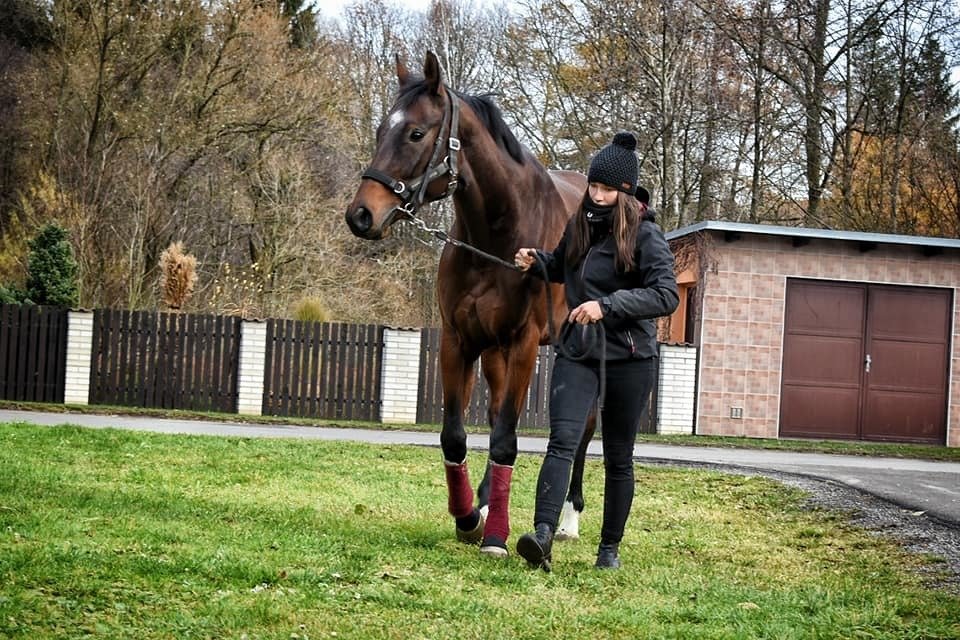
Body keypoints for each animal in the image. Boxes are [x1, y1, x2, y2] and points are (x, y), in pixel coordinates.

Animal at [346, 51, 592, 556]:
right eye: (380, 130)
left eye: (416, 133)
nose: (361, 215)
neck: (497, 237)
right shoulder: (459, 342)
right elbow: (456, 436)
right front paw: (467, 518)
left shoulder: (523, 346)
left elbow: (506, 441)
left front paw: (496, 537)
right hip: (494, 355)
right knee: (498, 415)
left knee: (584, 434)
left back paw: (569, 520)